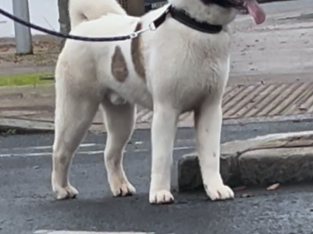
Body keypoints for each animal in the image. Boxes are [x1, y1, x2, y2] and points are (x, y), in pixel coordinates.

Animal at [51, 0, 264, 204]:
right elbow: (162, 156)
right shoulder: (166, 111)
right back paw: (62, 189)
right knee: (60, 151)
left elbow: (210, 154)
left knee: (111, 153)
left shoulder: (210, 108)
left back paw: (121, 186)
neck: (196, 24)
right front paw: (160, 194)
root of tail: (81, 27)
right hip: (77, 110)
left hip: (122, 119)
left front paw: (215, 189)